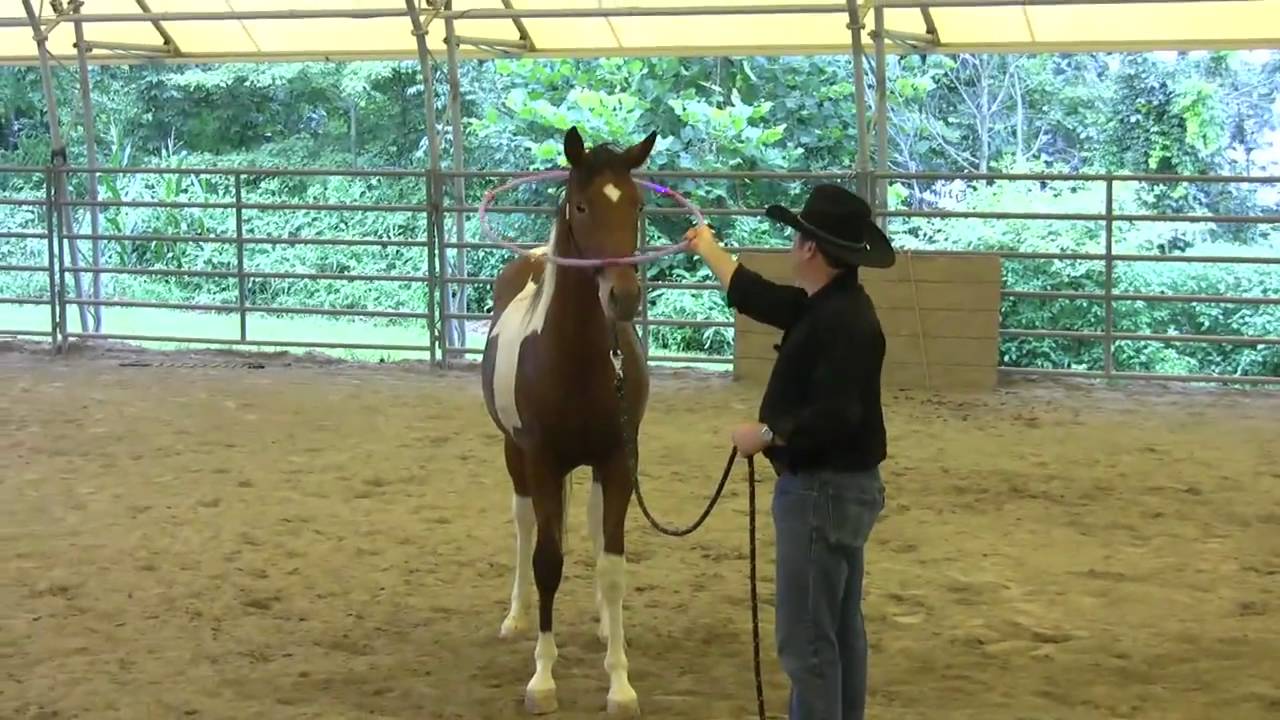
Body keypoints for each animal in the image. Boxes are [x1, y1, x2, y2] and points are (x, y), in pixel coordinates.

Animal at [480, 126, 657, 716]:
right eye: (581, 205)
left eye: (637, 204)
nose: (623, 296)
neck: (576, 356)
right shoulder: (541, 460)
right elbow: (547, 561)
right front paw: (542, 679)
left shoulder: (618, 459)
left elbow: (612, 565)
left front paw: (620, 682)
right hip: (515, 458)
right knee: (523, 524)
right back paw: (516, 617)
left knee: (595, 527)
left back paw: (604, 626)